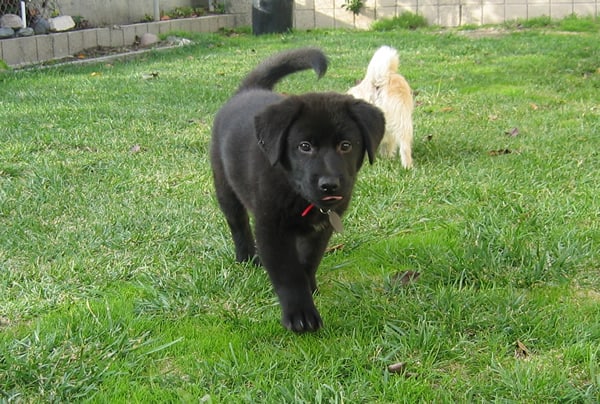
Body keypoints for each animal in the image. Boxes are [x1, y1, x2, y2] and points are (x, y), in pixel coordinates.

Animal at [211, 47, 384, 332]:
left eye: (346, 145)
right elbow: (288, 273)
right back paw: (246, 256)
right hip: (224, 185)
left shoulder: (321, 230)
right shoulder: (271, 228)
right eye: (304, 146)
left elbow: (308, 261)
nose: (329, 184)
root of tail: (247, 90)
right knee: (237, 223)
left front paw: (310, 287)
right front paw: (300, 314)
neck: (297, 193)